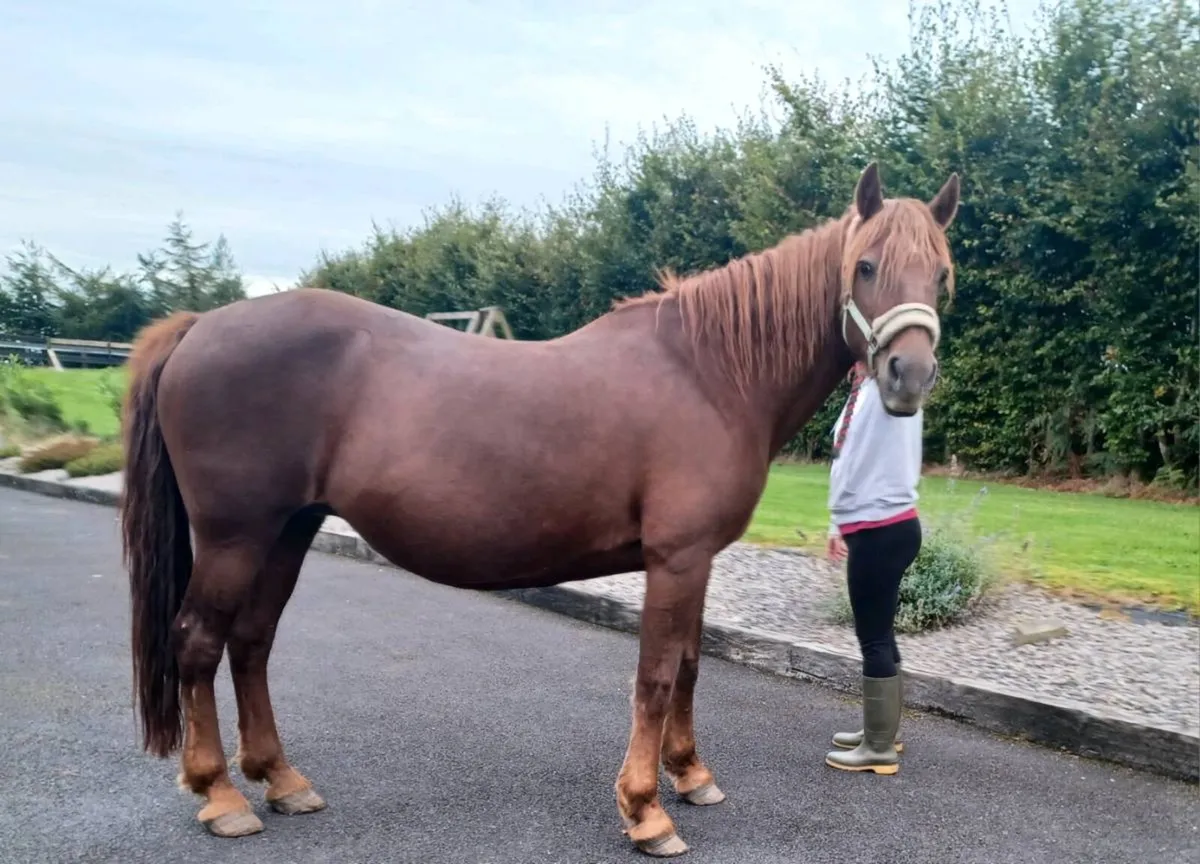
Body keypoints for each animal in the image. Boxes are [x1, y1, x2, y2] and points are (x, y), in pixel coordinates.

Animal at [119, 162, 959, 858]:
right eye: (865, 265)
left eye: (943, 275)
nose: (908, 375)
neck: (709, 373)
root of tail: (201, 325)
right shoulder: (676, 559)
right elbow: (657, 676)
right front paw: (646, 811)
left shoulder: (698, 560)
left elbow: (689, 666)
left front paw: (692, 776)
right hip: (235, 536)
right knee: (199, 643)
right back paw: (221, 794)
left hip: (287, 531)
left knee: (251, 643)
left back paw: (282, 780)